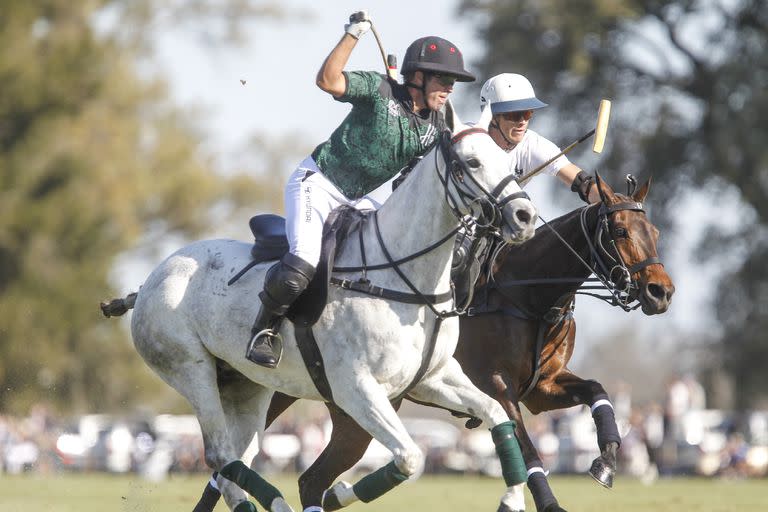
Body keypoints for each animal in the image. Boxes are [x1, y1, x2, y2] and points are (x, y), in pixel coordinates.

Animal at [123, 106, 536, 510]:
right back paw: (278, 501)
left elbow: (497, 414)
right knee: (221, 454)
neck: (406, 281)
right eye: (472, 162)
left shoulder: (434, 378)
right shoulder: (356, 388)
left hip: (247, 386)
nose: (524, 217)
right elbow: (410, 458)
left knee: (236, 460)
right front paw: (339, 493)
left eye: (505, 159)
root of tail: (153, 278)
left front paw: (512, 499)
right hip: (190, 369)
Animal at [194, 176, 672, 512]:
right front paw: (551, 504)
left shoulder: (541, 388)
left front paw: (605, 463)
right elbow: (529, 448)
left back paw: (334, 495)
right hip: (284, 394)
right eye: (620, 231)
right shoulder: (498, 384)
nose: (661, 292)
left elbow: (598, 392)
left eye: (655, 231)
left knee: (308, 479)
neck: (525, 294)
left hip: (353, 414)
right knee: (230, 464)